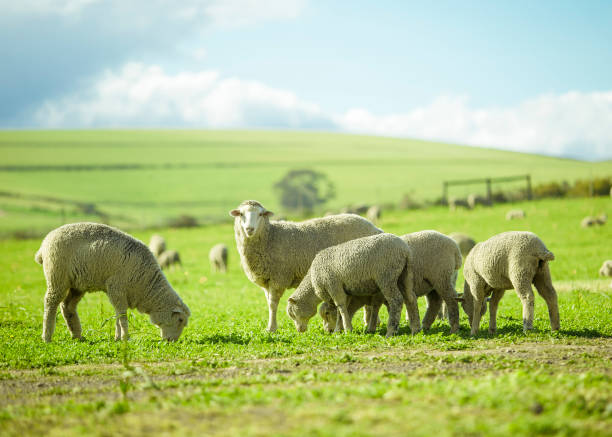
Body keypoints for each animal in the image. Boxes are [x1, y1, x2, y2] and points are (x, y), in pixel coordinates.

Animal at [33, 223, 190, 342]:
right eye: (180, 320)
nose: (172, 341)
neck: (145, 284)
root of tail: (44, 244)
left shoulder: (115, 292)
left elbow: (117, 314)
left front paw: (118, 337)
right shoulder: (117, 287)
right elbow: (122, 315)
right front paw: (125, 337)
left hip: (77, 285)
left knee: (67, 306)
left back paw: (77, 335)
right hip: (57, 276)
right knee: (50, 303)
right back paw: (47, 337)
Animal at [231, 200, 382, 330]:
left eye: (261, 214)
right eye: (241, 214)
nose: (249, 229)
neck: (270, 237)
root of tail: (375, 228)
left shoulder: (279, 278)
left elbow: (273, 304)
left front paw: (272, 328)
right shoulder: (266, 281)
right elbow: (269, 303)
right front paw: (270, 327)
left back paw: (368, 322)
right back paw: (370, 321)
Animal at [286, 233, 420, 336]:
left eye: (292, 314)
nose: (299, 330)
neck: (313, 282)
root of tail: (405, 250)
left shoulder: (333, 285)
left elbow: (341, 307)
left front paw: (346, 329)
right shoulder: (345, 290)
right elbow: (342, 309)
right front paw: (339, 329)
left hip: (386, 276)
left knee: (396, 300)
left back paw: (391, 331)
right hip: (405, 275)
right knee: (410, 298)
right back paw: (415, 329)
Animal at [318, 230, 462, 332]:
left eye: (327, 313)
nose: (328, 331)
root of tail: (455, 248)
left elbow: (378, 307)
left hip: (441, 276)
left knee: (450, 298)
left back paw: (453, 327)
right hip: (432, 282)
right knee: (434, 302)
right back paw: (424, 326)